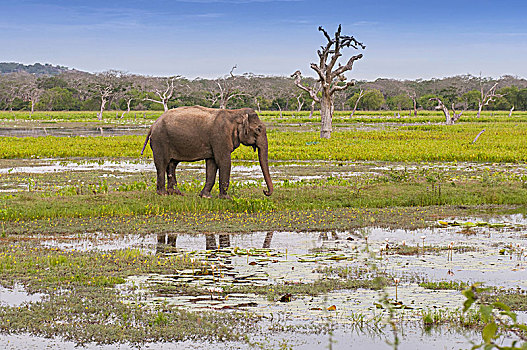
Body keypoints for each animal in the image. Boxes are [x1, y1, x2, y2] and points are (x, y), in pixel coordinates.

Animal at [141, 105, 272, 198]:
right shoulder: (220, 137)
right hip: (160, 141)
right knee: (162, 164)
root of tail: (152, 126)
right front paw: (226, 198)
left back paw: (176, 193)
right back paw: (163, 194)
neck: (235, 113)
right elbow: (224, 162)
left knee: (172, 164)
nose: (265, 191)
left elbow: (212, 164)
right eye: (258, 129)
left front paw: (205, 196)